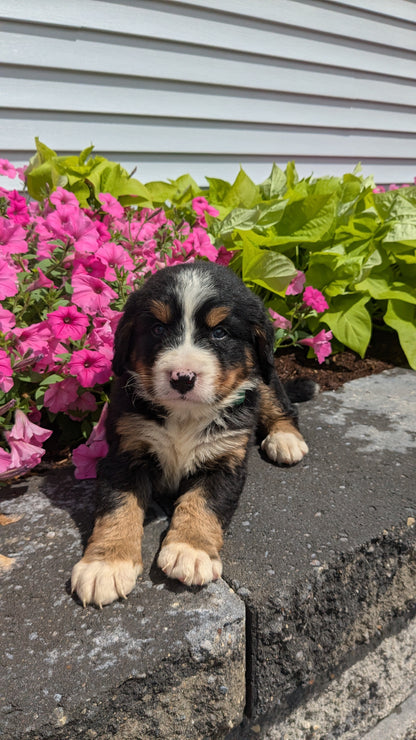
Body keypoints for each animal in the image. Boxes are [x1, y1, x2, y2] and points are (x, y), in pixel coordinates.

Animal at [71, 264, 314, 608]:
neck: (184, 416)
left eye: (219, 333)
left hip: (263, 376)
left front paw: (190, 550)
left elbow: (204, 503)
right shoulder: (123, 454)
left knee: (278, 401)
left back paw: (285, 439)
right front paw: (105, 565)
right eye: (158, 329)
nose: (182, 378)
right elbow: (117, 508)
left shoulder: (225, 459)